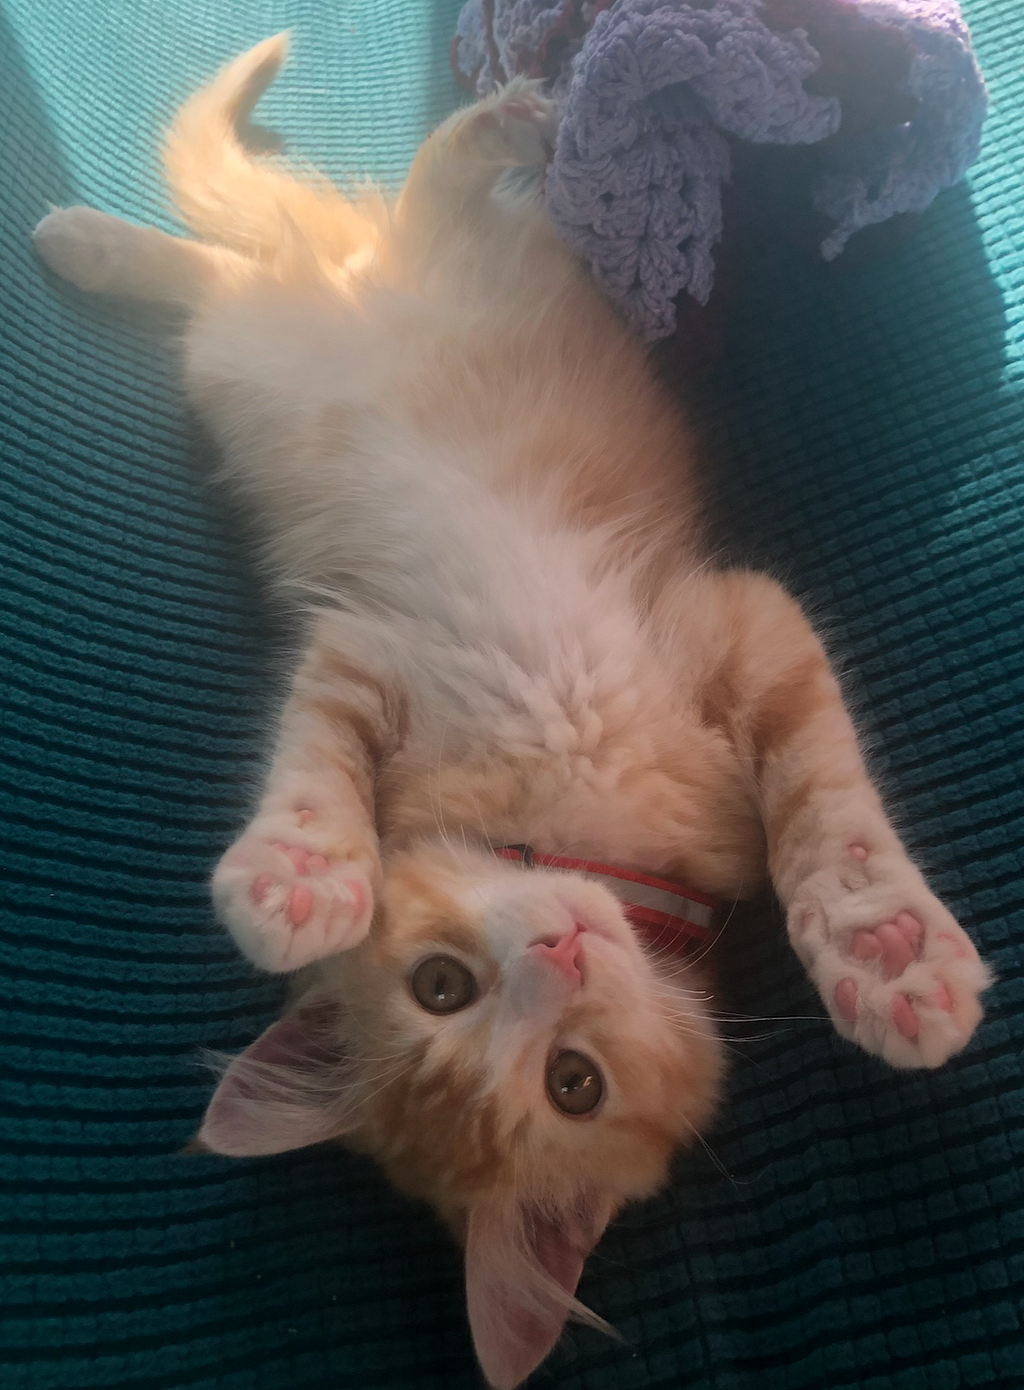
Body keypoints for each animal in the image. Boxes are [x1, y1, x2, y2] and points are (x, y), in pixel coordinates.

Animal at [34, 40, 989, 1390]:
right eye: (446, 993)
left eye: (571, 1078)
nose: (561, 950)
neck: (573, 826)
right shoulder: (365, 644)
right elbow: (310, 761)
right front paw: (301, 871)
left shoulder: (735, 624)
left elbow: (826, 810)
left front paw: (884, 948)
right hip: (240, 355)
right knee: (235, 264)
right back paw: (94, 240)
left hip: (399, 277)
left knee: (349, 211)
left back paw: (501, 126)